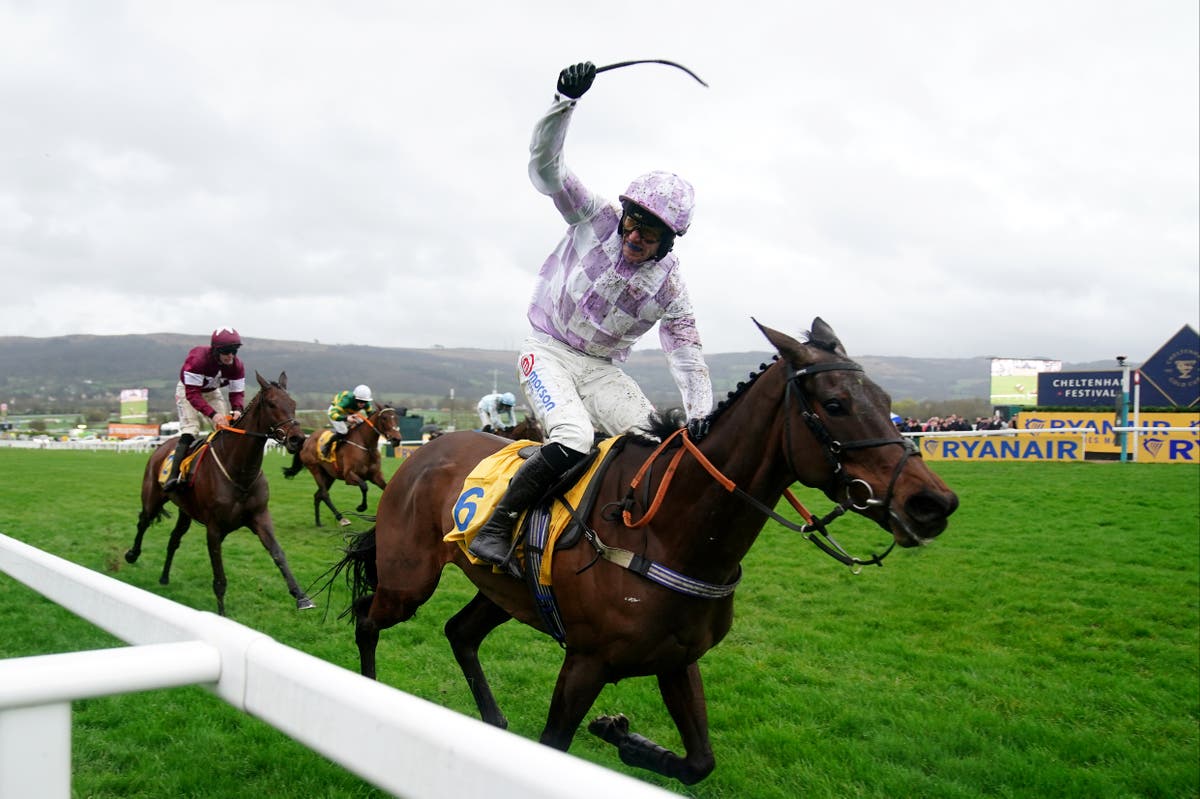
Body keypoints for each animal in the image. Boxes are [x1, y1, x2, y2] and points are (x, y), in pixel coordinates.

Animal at [125, 369, 314, 611]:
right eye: (272, 404)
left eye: (293, 403)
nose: (297, 439)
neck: (241, 472)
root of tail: (162, 446)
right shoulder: (214, 529)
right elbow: (220, 579)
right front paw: (221, 614)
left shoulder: (260, 517)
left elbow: (278, 553)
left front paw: (301, 595)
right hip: (152, 496)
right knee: (143, 521)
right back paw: (132, 554)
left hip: (185, 511)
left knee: (174, 539)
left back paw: (164, 577)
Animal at [326, 319, 955, 782]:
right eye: (836, 403)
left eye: (885, 398)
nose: (933, 502)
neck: (669, 531)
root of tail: (417, 456)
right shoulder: (585, 661)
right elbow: (554, 744)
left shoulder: (677, 657)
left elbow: (700, 762)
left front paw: (623, 736)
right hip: (408, 579)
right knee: (367, 616)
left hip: (503, 590)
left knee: (460, 633)